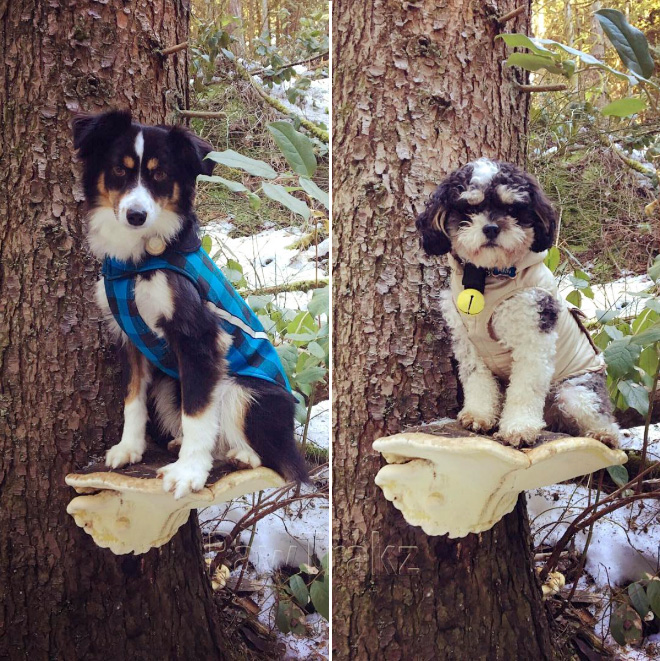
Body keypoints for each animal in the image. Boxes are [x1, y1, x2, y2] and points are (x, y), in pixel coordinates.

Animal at [73, 111, 308, 498]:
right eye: (119, 170)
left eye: (160, 175)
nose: (136, 215)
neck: (139, 263)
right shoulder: (130, 339)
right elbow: (133, 398)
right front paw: (129, 447)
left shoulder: (198, 338)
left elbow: (198, 413)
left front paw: (189, 472)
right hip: (171, 385)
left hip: (244, 389)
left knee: (276, 457)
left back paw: (240, 456)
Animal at [418, 159, 620, 448]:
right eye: (469, 208)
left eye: (512, 208)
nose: (491, 228)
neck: (485, 278)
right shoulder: (469, 344)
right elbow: (477, 380)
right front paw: (478, 415)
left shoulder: (533, 338)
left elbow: (525, 388)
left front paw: (519, 428)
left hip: (574, 392)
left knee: (604, 418)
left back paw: (603, 434)